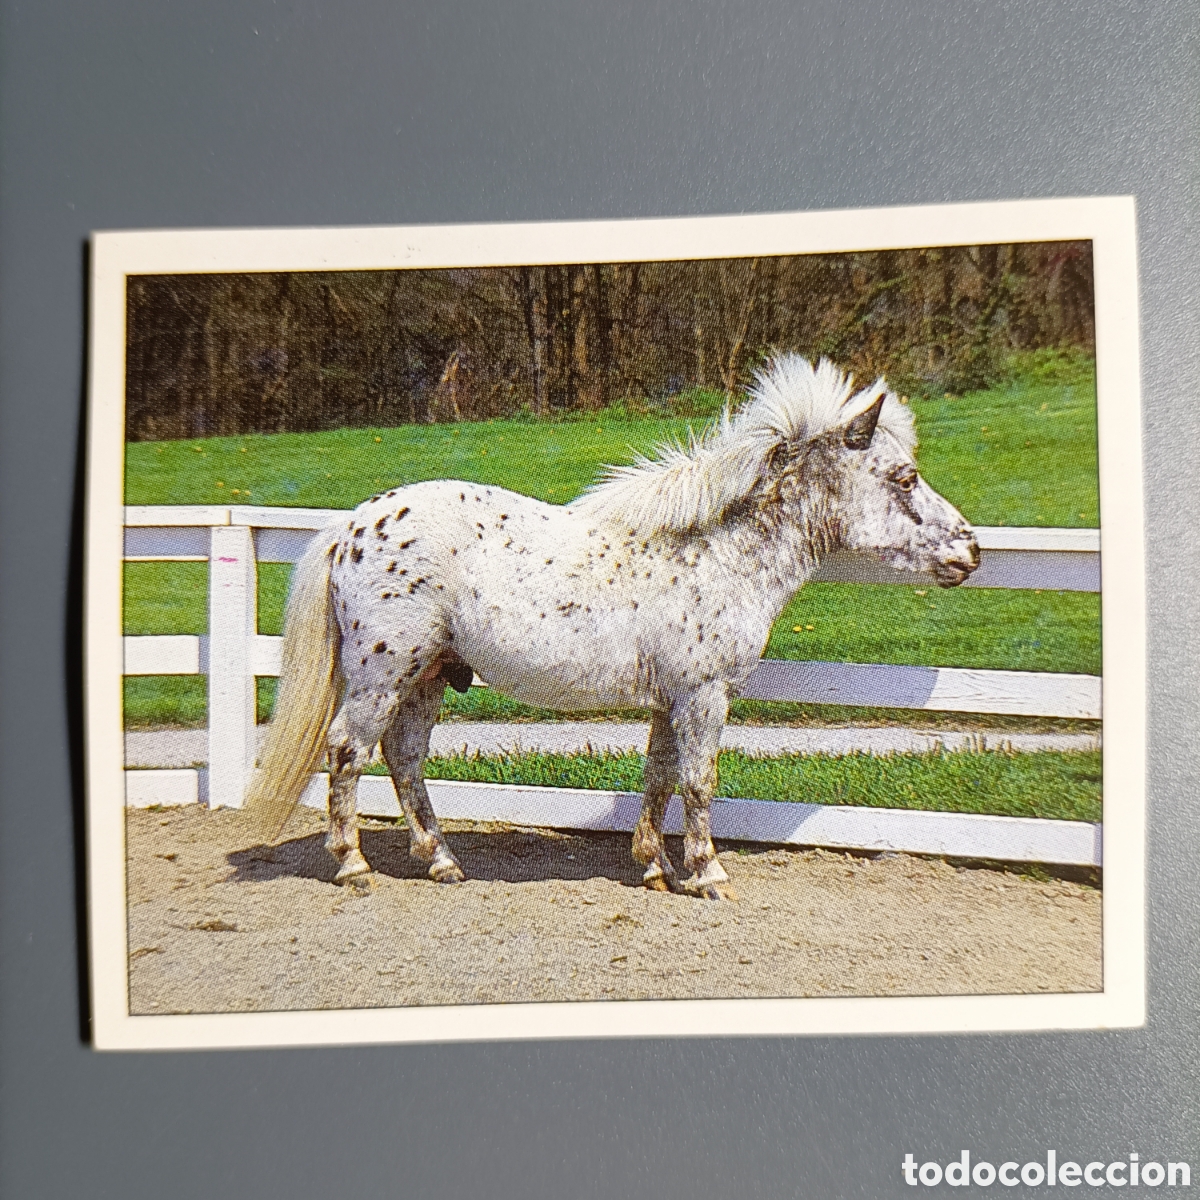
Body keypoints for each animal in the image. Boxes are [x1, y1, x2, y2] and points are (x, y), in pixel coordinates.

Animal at [245, 354, 979, 900]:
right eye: (905, 477)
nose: (969, 552)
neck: (715, 551)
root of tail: (350, 525)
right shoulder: (704, 696)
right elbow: (699, 781)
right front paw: (707, 874)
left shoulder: (670, 700)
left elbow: (658, 777)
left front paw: (654, 867)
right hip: (383, 676)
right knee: (348, 751)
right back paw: (354, 866)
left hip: (426, 678)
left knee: (404, 759)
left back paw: (442, 861)